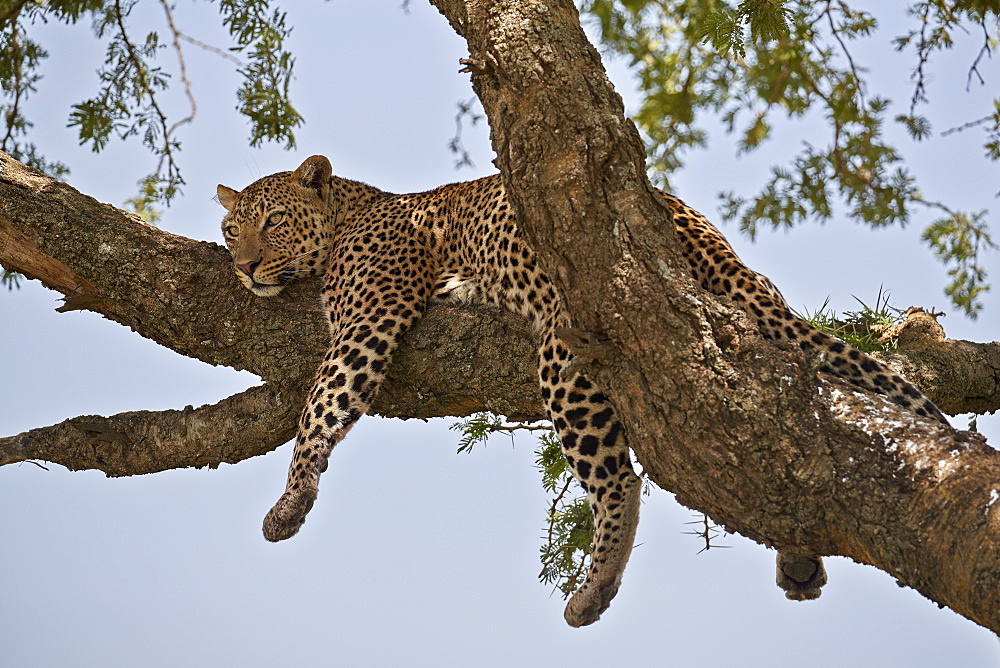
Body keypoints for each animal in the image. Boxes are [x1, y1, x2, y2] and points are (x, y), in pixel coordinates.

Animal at [215, 155, 948, 628]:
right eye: (230, 229)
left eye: (273, 221)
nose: (243, 267)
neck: (349, 211)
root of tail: (684, 225)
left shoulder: (371, 318)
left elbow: (322, 406)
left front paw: (289, 503)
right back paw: (796, 557)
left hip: (566, 356)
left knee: (620, 479)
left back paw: (593, 591)